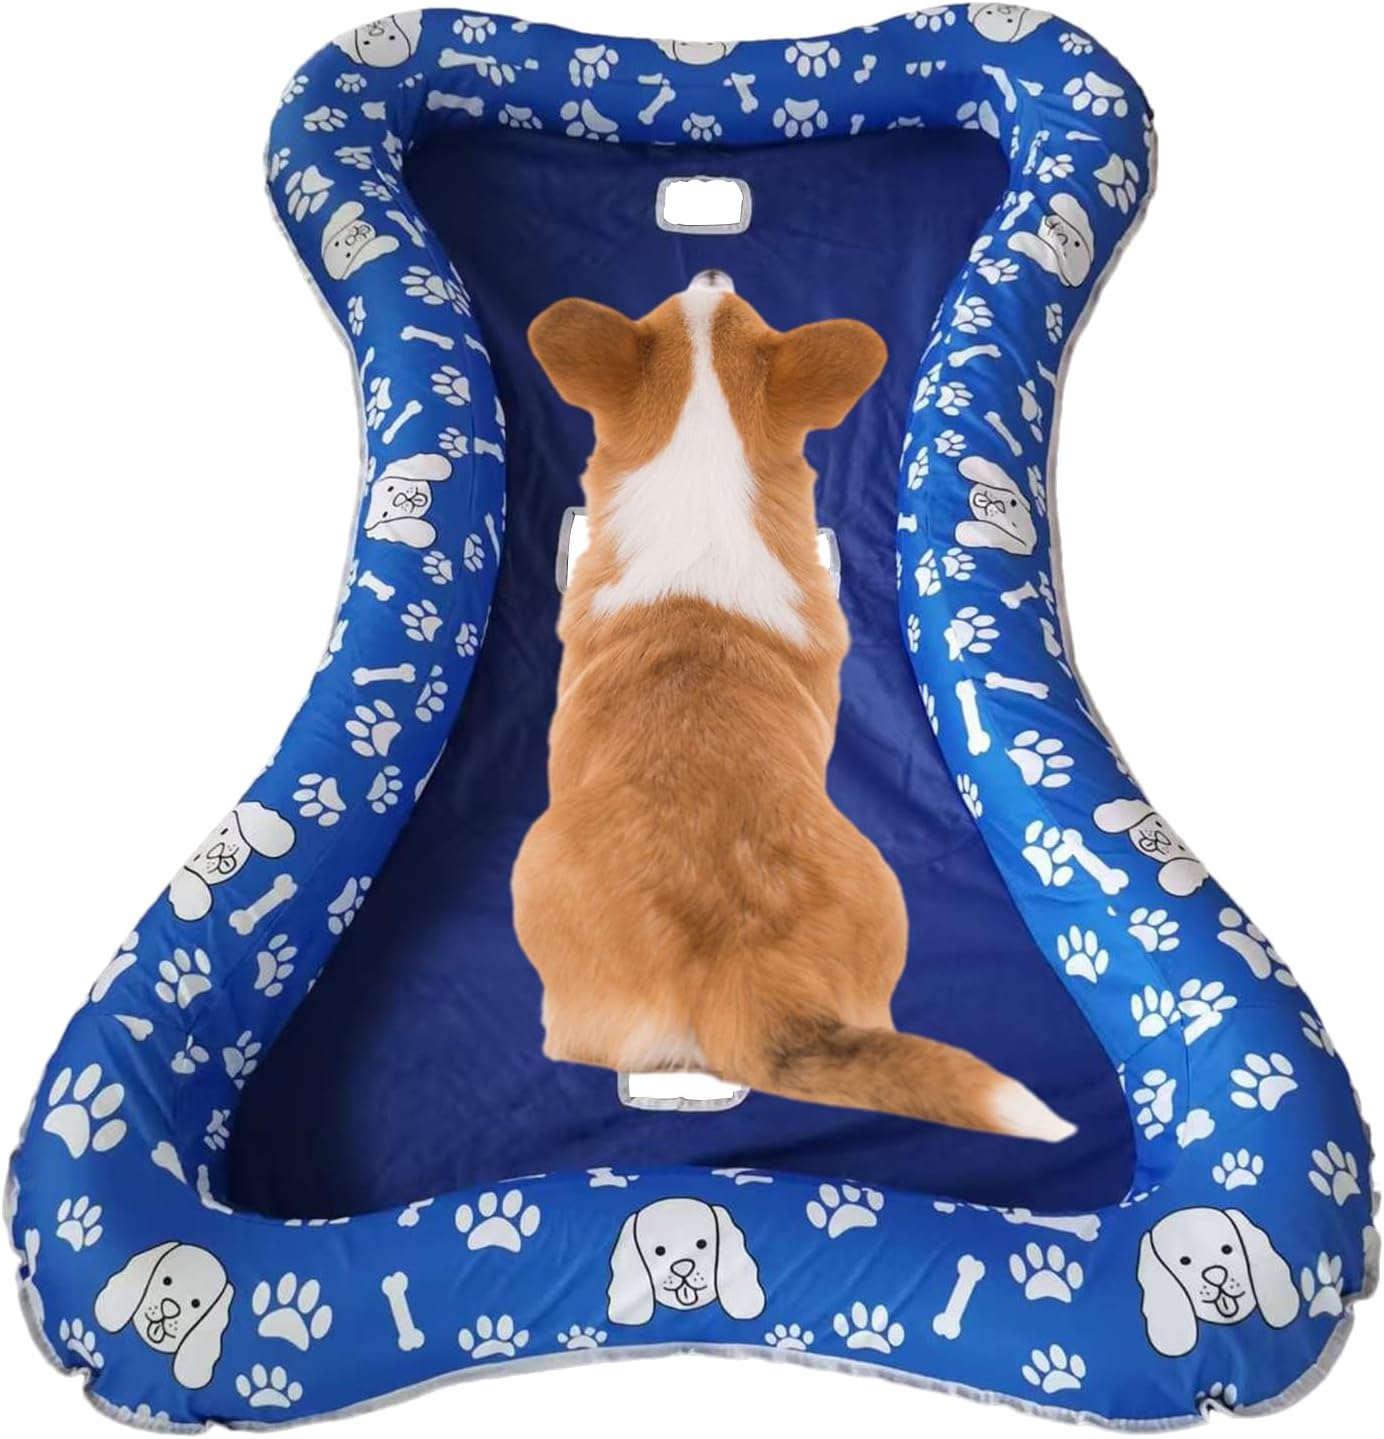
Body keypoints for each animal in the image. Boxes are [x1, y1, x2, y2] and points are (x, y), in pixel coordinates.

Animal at [511, 270, 1075, 1139]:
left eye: (736, 309)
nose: (711, 272)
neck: (703, 464)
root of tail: (750, 980)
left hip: (532, 869)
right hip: (884, 895)